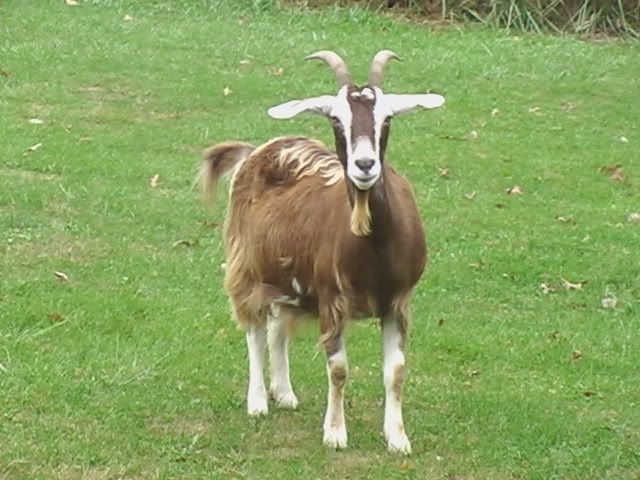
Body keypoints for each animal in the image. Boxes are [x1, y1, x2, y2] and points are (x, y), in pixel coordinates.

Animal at [199, 50, 445, 453]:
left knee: (276, 329)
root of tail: (257, 150)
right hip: (246, 268)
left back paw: (283, 393)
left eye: (387, 118)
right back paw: (258, 401)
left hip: (287, 279)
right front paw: (335, 433)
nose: (364, 165)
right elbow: (339, 368)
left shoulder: (398, 302)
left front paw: (397, 437)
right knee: (254, 330)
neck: (373, 249)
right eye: (335, 118)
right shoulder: (333, 299)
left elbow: (395, 372)